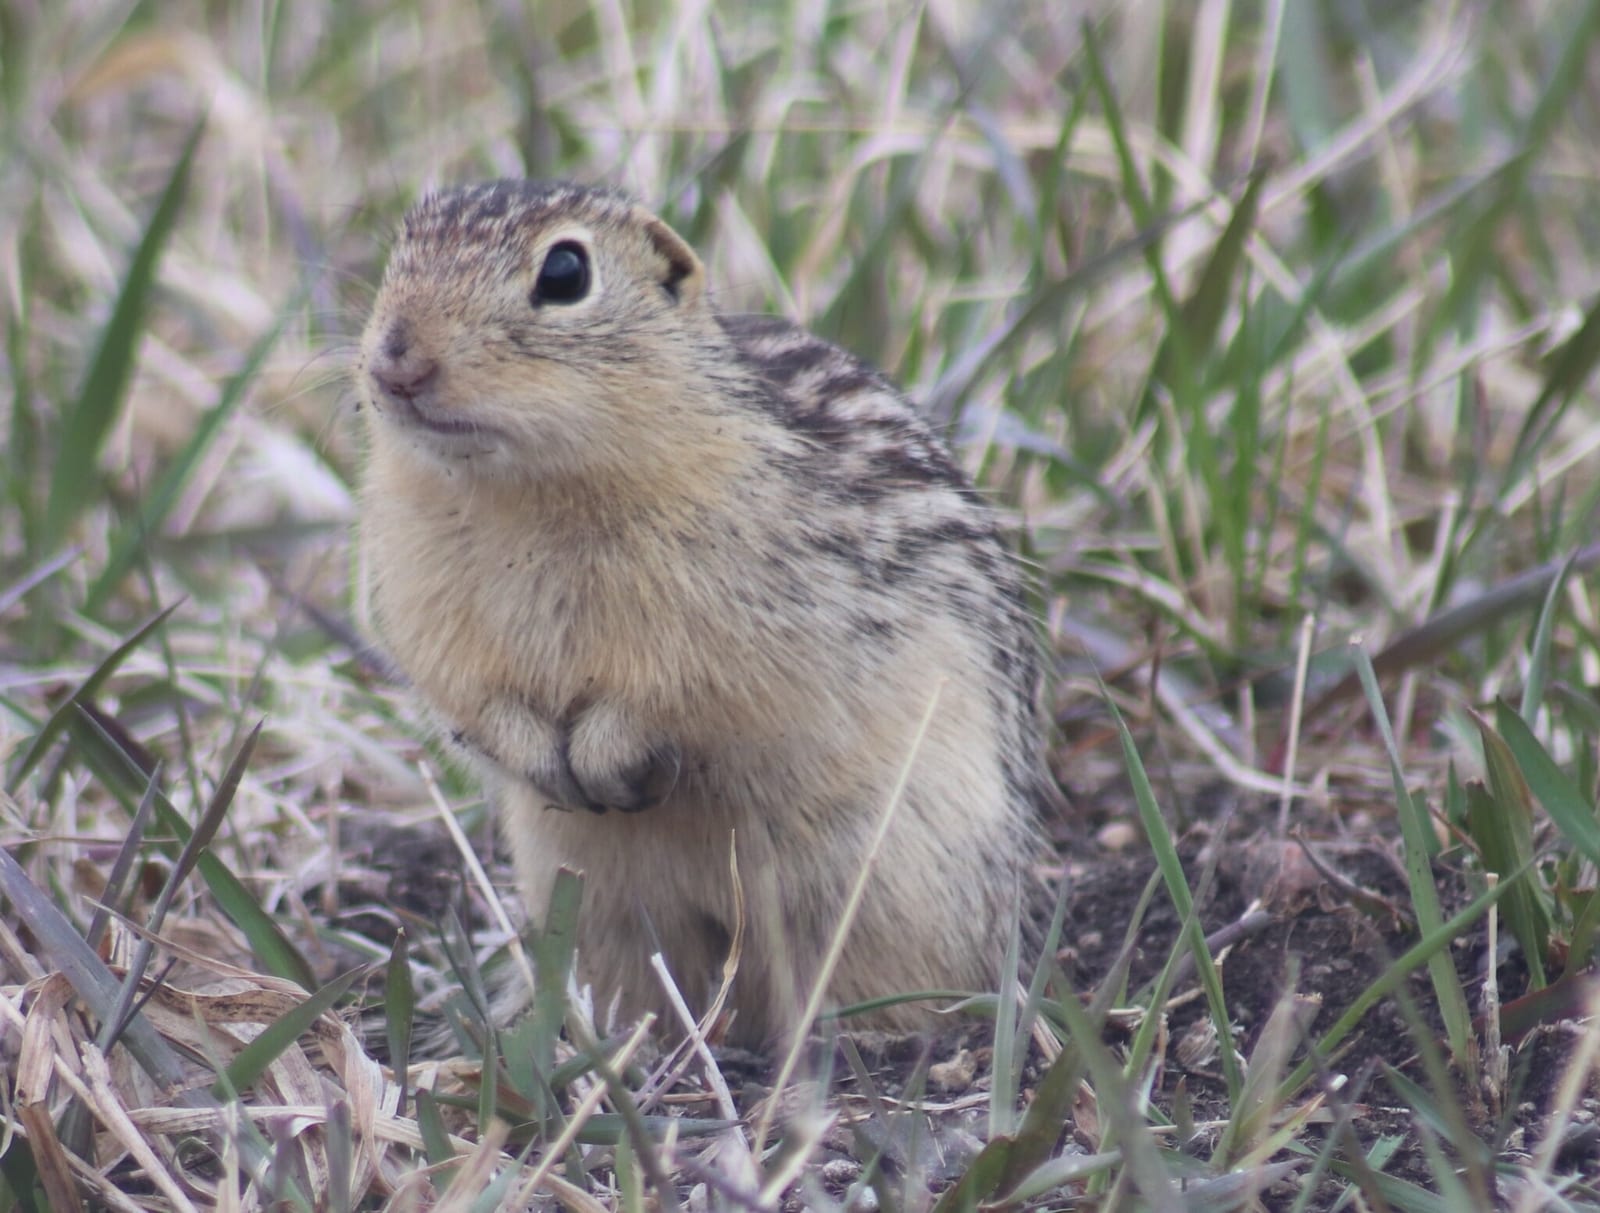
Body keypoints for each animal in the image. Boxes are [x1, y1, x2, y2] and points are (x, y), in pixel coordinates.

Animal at [356, 180, 1056, 1046]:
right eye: (400, 248)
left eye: (564, 272)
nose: (396, 361)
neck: (525, 489)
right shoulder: (426, 614)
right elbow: (470, 697)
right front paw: (542, 757)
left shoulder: (737, 626)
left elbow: (680, 696)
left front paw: (605, 756)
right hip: (600, 903)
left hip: (891, 893)